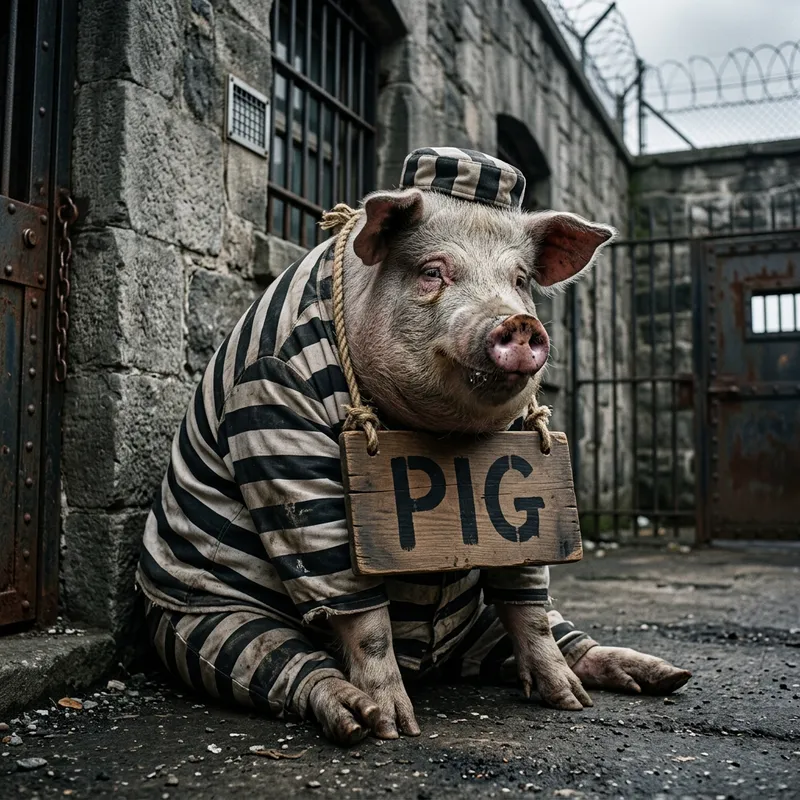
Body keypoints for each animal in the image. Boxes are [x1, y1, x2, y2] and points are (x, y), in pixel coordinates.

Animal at [137, 147, 691, 746]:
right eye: (432, 271)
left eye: (520, 279)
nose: (519, 322)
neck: (437, 430)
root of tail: (437, 662)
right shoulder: (274, 409)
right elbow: (348, 589)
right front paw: (395, 727)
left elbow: (527, 588)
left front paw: (569, 703)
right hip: (205, 624)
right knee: (271, 654)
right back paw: (354, 717)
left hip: (483, 619)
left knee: (550, 625)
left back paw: (662, 676)